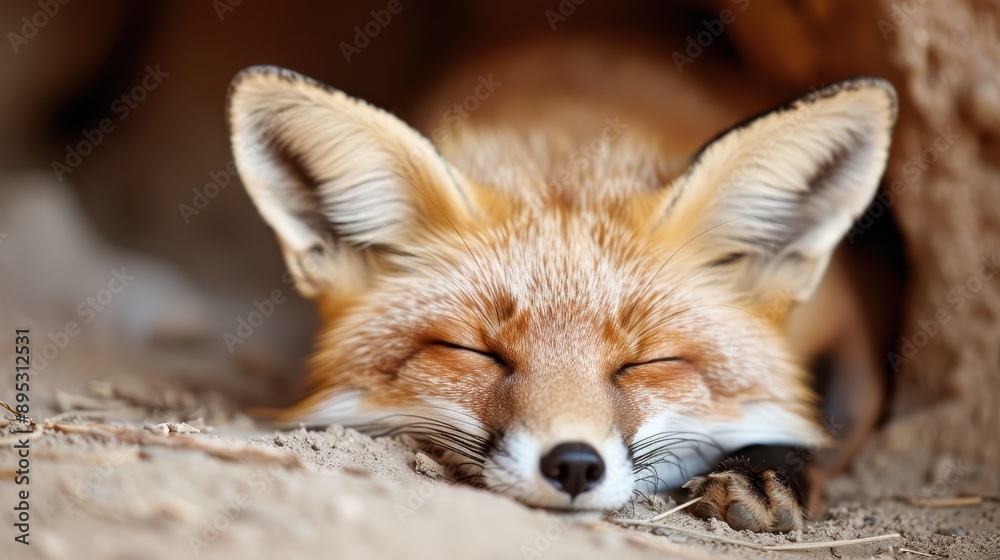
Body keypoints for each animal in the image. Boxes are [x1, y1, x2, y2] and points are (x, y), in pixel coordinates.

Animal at [227, 49, 897, 533]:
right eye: (475, 352)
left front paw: (763, 472)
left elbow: (821, 421)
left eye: (647, 363)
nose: (574, 465)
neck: (568, 142)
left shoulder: (845, 329)